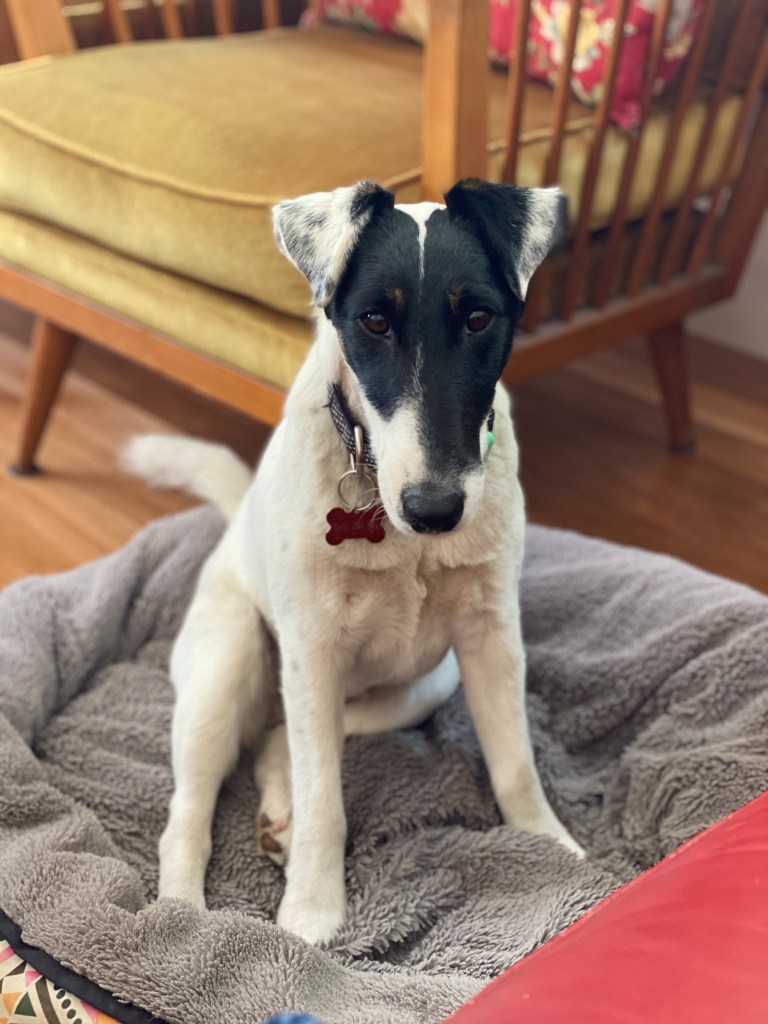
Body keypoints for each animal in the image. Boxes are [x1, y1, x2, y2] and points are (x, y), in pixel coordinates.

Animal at [124, 177, 583, 945]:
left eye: (479, 317)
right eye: (372, 321)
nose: (434, 510)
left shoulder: (491, 637)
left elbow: (515, 760)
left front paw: (550, 845)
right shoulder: (311, 652)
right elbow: (325, 800)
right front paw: (312, 910)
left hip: (426, 681)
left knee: (280, 737)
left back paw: (275, 803)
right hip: (226, 670)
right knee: (191, 813)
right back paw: (183, 916)